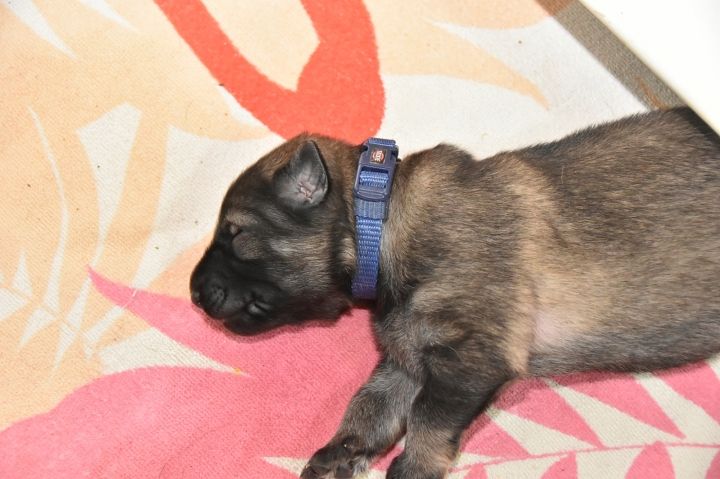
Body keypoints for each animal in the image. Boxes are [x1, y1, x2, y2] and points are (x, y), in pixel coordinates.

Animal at [190, 107, 720, 478]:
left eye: (236, 233)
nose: (193, 294)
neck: (385, 223)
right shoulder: (405, 359)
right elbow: (371, 404)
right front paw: (342, 451)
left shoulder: (471, 357)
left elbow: (428, 419)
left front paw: (414, 469)